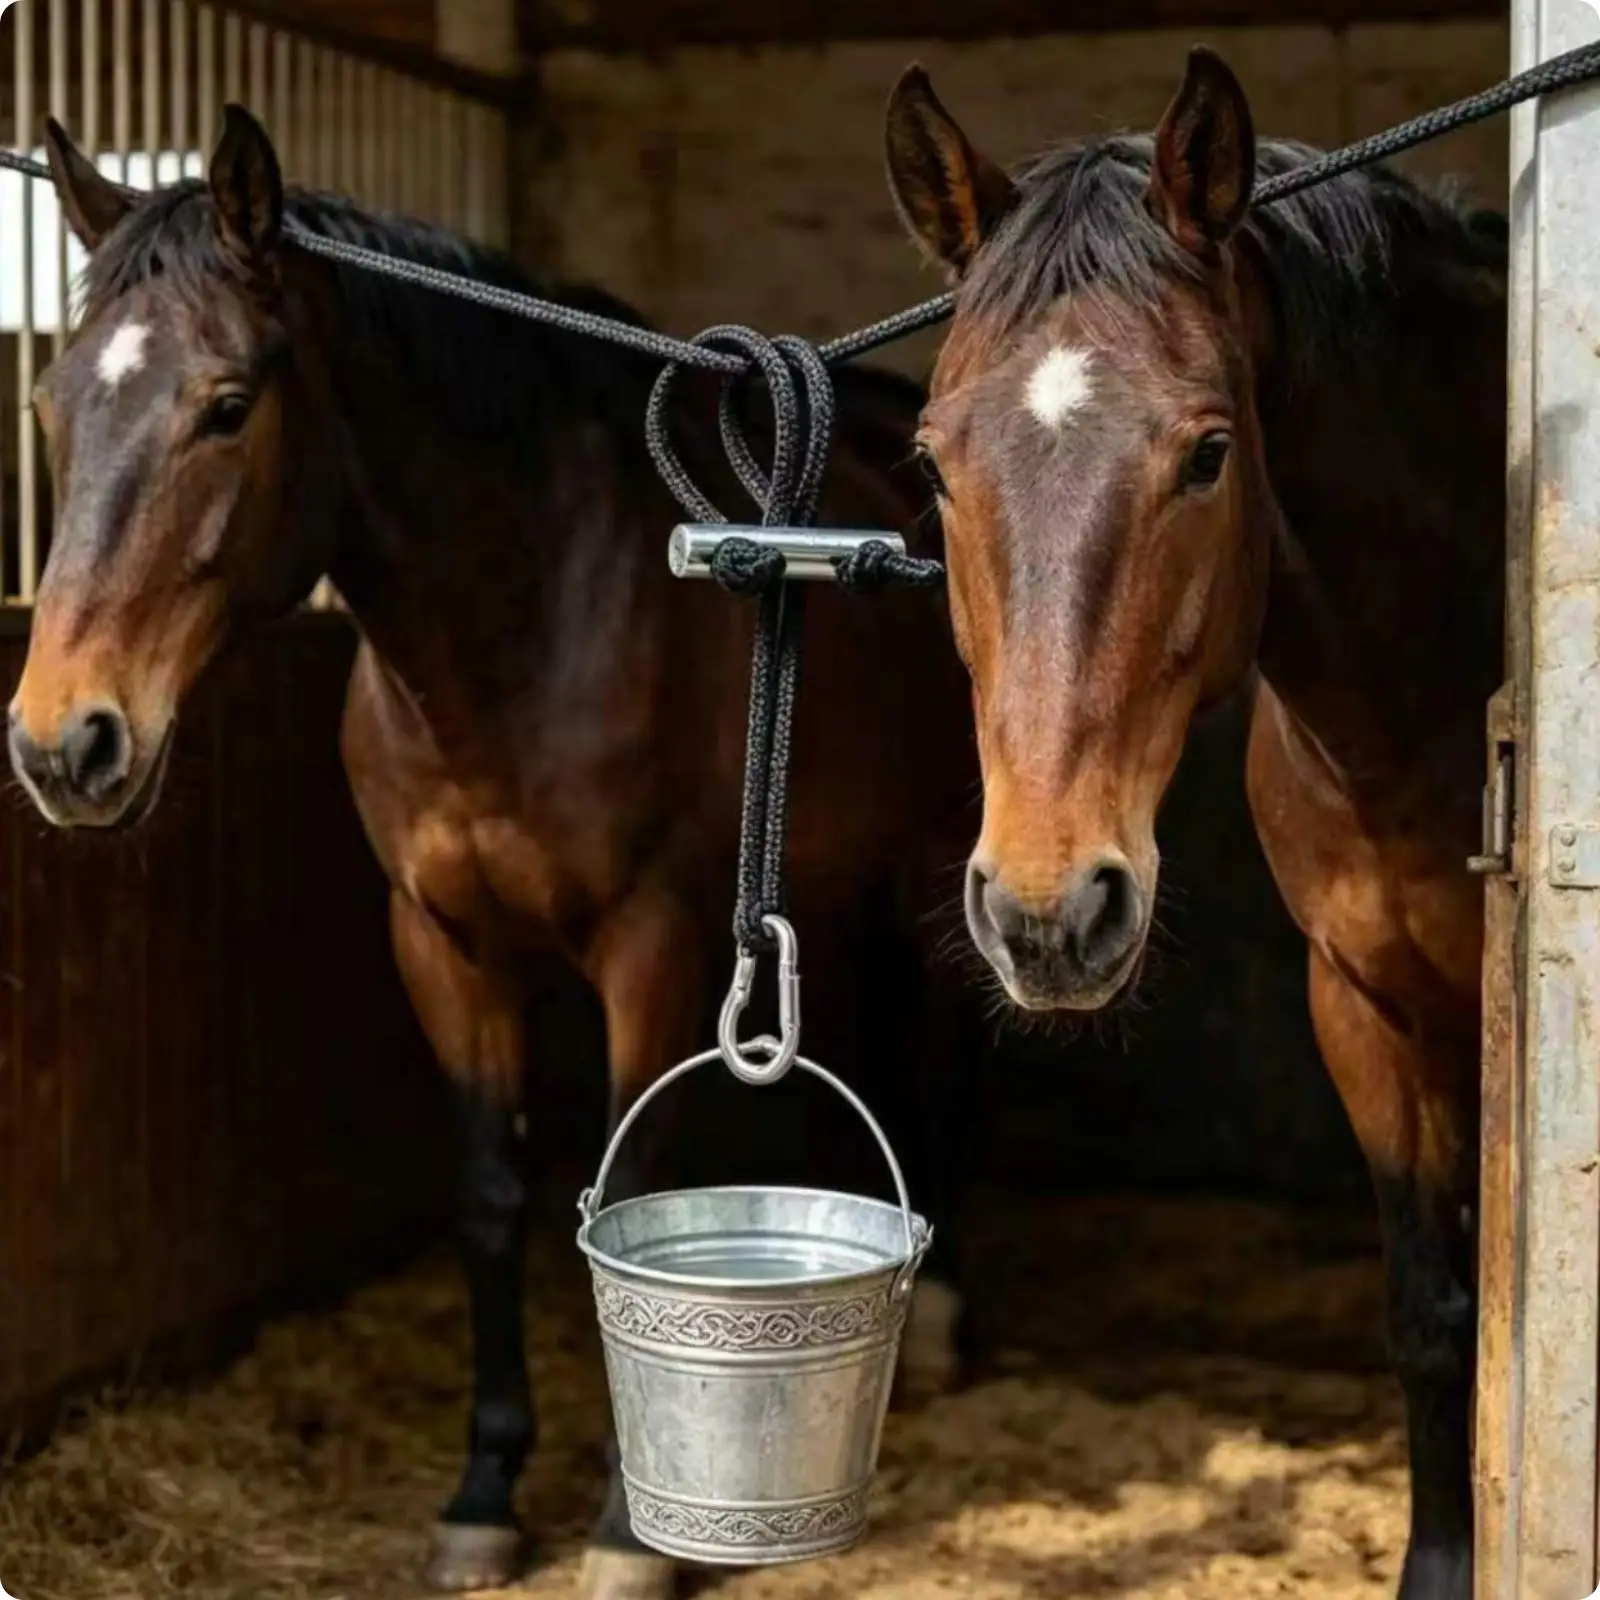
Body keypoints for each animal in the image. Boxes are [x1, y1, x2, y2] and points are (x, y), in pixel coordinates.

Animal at [11, 106, 982, 1600]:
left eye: (227, 405)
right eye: (53, 406)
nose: (67, 744)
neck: (523, 627)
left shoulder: (655, 944)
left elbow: (632, 1184)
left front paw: (625, 1533)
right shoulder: (438, 940)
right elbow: (487, 1196)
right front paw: (483, 1492)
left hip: (937, 857)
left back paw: (933, 1324)